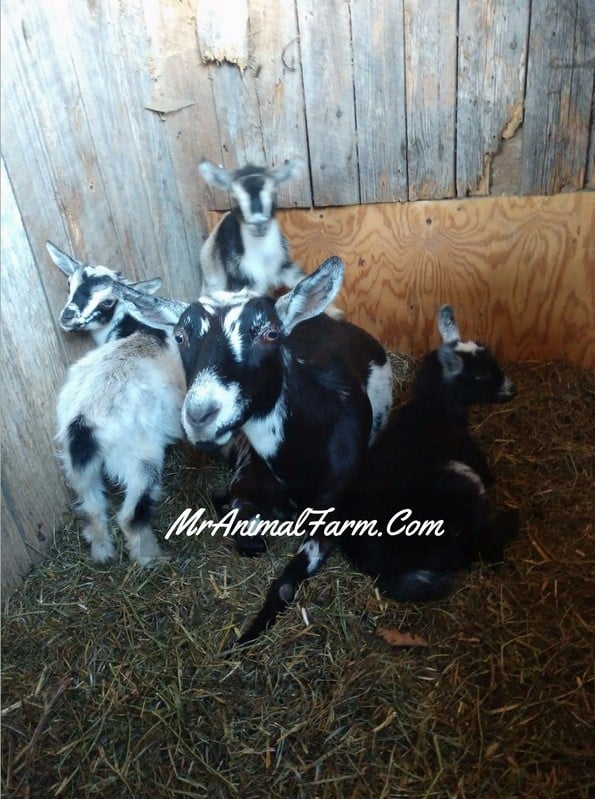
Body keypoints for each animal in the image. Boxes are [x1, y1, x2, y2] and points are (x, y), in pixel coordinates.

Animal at [47, 242, 187, 566]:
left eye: (108, 300)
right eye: (70, 284)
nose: (68, 317)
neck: (135, 327)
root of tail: (83, 420)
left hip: (76, 465)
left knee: (91, 507)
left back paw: (102, 553)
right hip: (139, 456)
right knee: (130, 516)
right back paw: (153, 560)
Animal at [198, 159, 344, 320]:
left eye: (273, 193)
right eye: (235, 198)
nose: (259, 224)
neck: (262, 258)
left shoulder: (283, 267)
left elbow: (302, 281)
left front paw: (336, 313)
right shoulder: (242, 281)